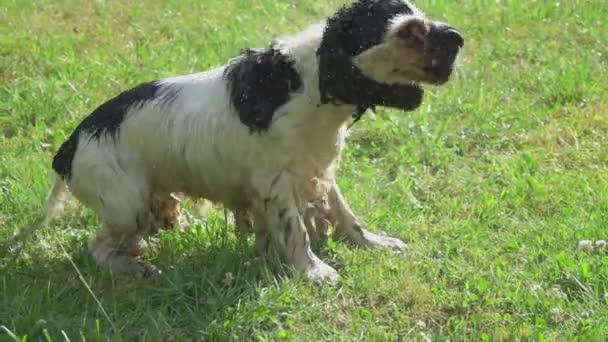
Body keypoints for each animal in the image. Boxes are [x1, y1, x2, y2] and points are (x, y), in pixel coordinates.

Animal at [44, 0, 460, 284]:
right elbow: (296, 232)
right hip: (125, 203)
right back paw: (136, 267)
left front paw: (375, 243)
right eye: (409, 32)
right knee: (98, 248)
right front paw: (314, 271)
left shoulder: (318, 166)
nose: (459, 38)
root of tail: (68, 146)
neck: (310, 84)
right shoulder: (275, 182)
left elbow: (345, 214)